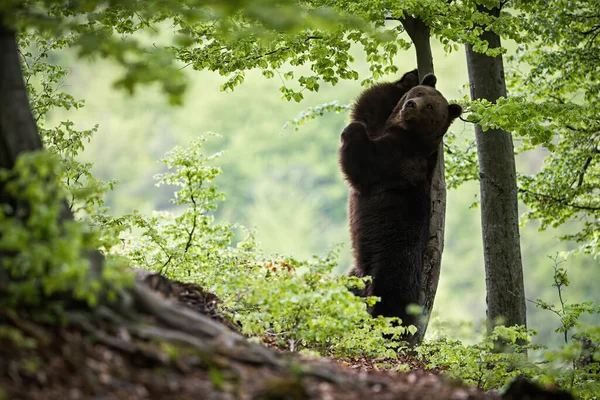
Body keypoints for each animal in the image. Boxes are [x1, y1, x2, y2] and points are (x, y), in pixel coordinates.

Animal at [340, 69, 462, 332]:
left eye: (430, 106)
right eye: (419, 93)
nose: (410, 105)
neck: (406, 131)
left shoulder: (399, 160)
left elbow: (365, 166)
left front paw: (352, 131)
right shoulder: (383, 124)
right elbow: (369, 103)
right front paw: (410, 76)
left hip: (395, 258)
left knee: (392, 299)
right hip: (358, 273)